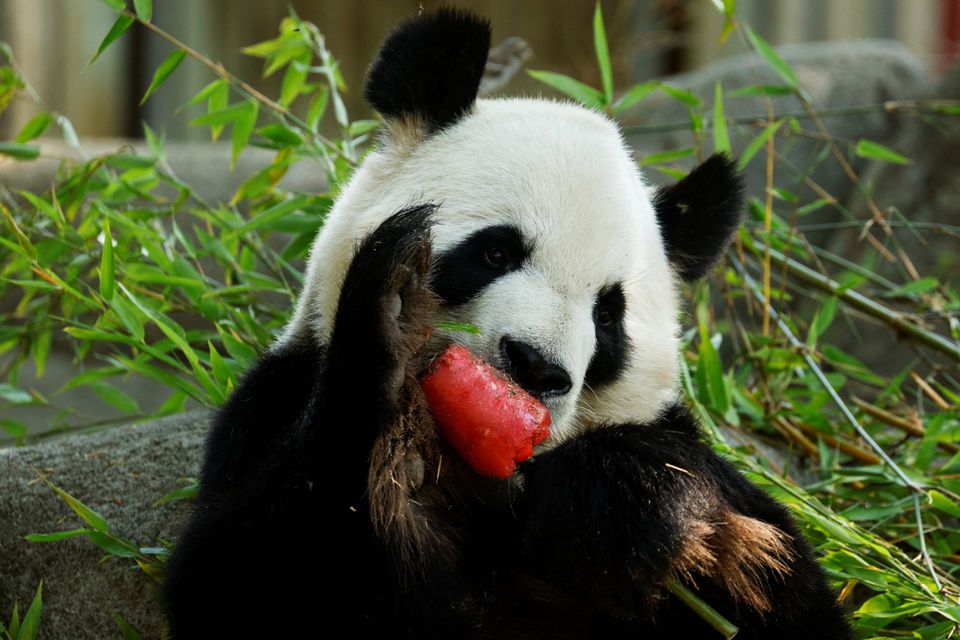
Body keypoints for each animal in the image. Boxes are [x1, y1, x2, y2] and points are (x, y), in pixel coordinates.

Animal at [161, 6, 852, 640]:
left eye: (608, 315)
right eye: (496, 252)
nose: (536, 366)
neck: (491, 478)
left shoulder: (676, 448)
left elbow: (783, 591)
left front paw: (634, 496)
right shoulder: (276, 400)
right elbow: (248, 574)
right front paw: (391, 323)